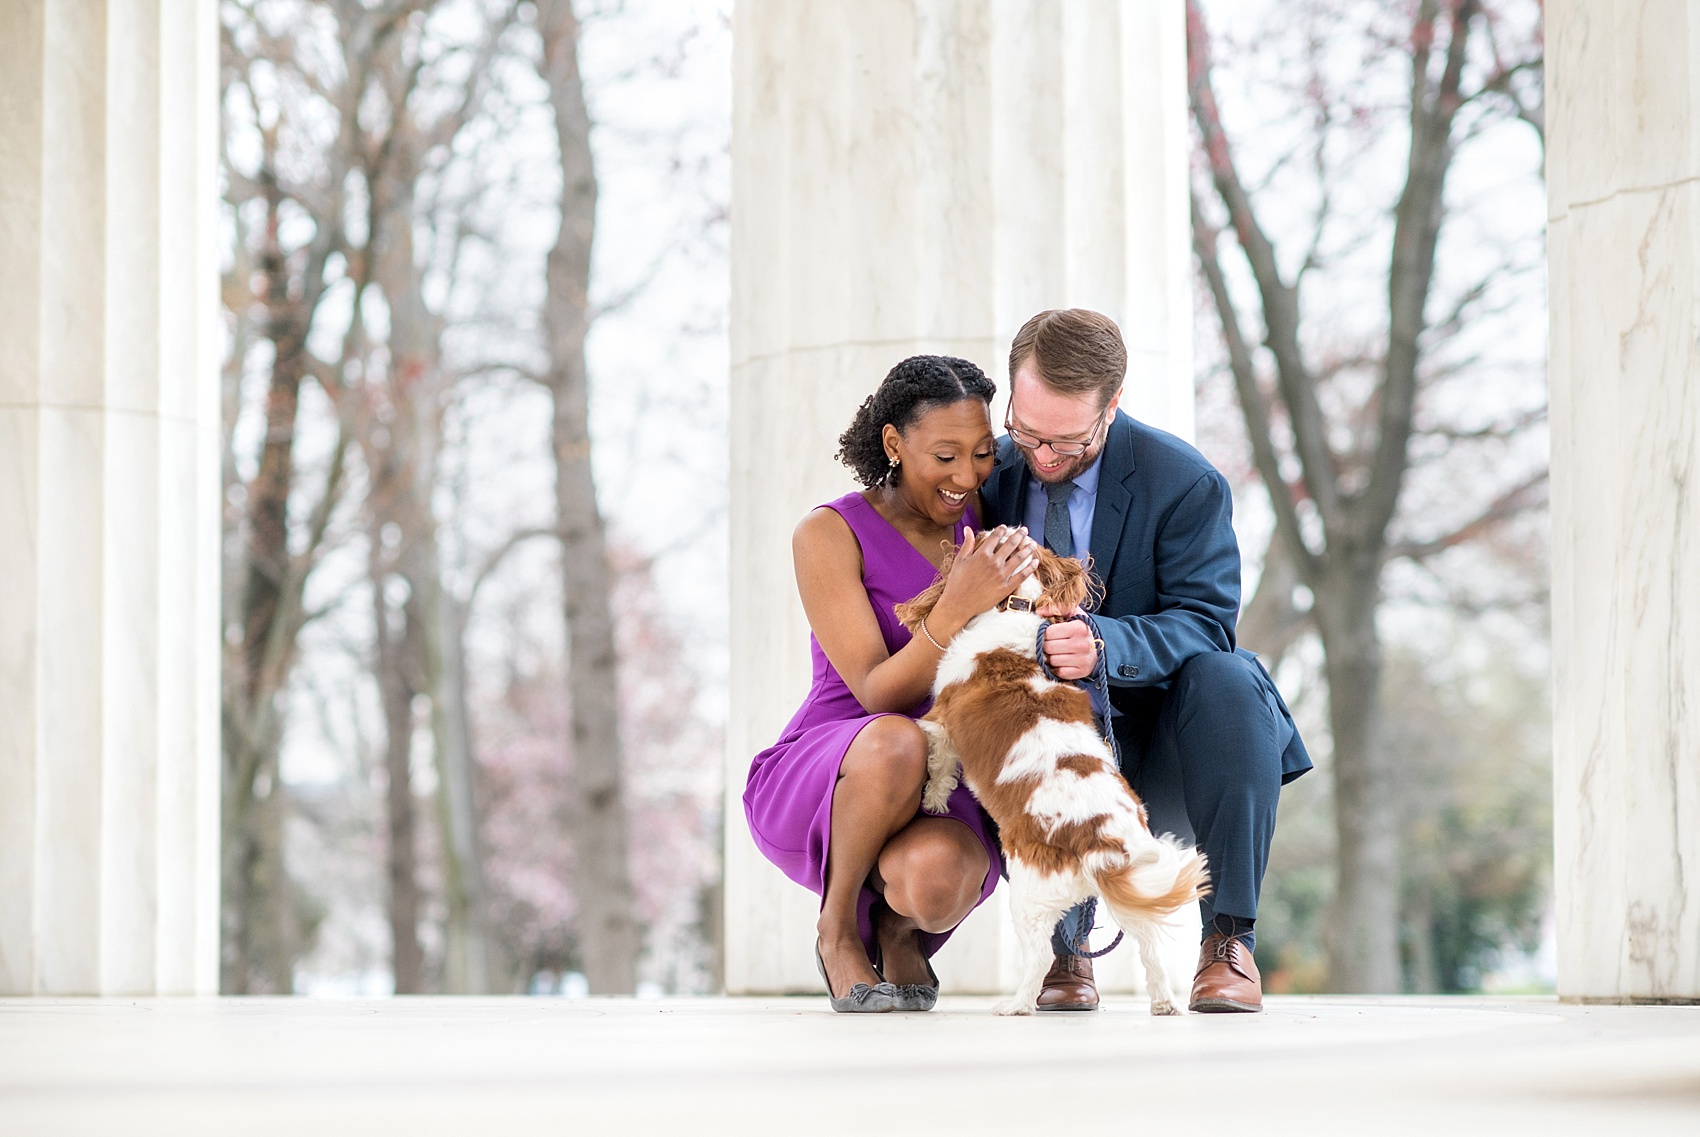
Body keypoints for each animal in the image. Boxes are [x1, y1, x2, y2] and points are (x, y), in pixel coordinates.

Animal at [904, 543, 1210, 1012]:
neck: (1019, 605)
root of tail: (1100, 839)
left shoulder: (941, 723)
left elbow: (939, 766)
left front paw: (933, 801)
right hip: (1133, 896)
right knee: (1151, 949)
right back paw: (1163, 1003)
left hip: (1028, 895)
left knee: (1041, 956)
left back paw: (1015, 1004)